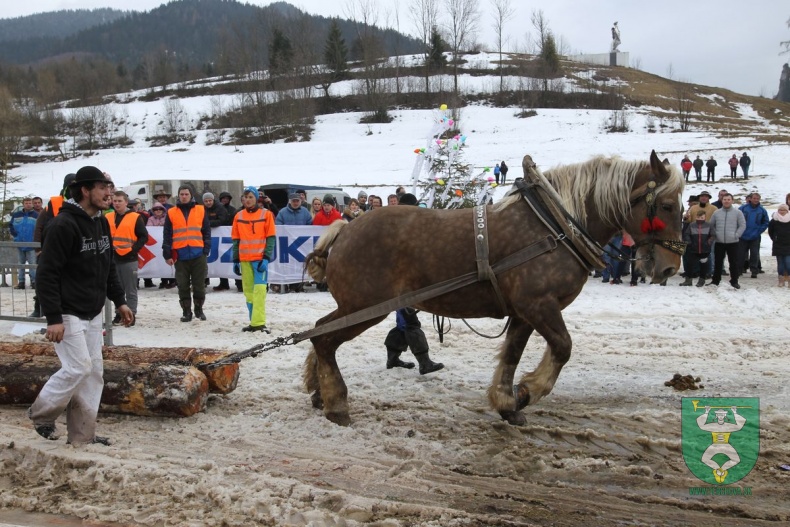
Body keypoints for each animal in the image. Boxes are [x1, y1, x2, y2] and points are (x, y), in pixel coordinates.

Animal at [304, 151, 688, 426]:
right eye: (667, 205)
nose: (670, 266)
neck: (555, 227)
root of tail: (345, 228)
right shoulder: (539, 305)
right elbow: (563, 348)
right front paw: (528, 391)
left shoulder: (524, 313)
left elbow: (512, 355)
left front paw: (507, 402)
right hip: (365, 307)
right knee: (324, 340)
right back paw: (336, 403)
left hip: (355, 306)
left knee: (319, 331)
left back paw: (318, 390)